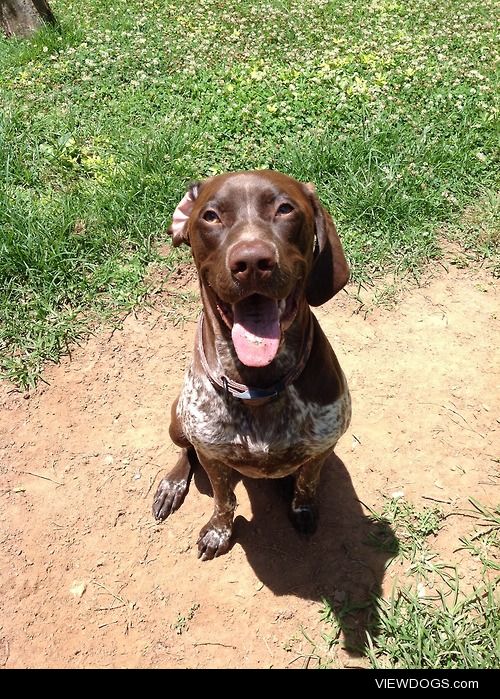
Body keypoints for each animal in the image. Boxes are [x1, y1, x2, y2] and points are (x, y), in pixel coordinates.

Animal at [152, 172, 352, 560]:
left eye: (285, 209)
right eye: (211, 216)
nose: (252, 262)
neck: (260, 385)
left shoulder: (323, 445)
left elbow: (307, 483)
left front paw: (302, 508)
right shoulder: (212, 455)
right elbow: (223, 499)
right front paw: (219, 531)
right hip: (177, 420)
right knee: (185, 451)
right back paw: (172, 484)